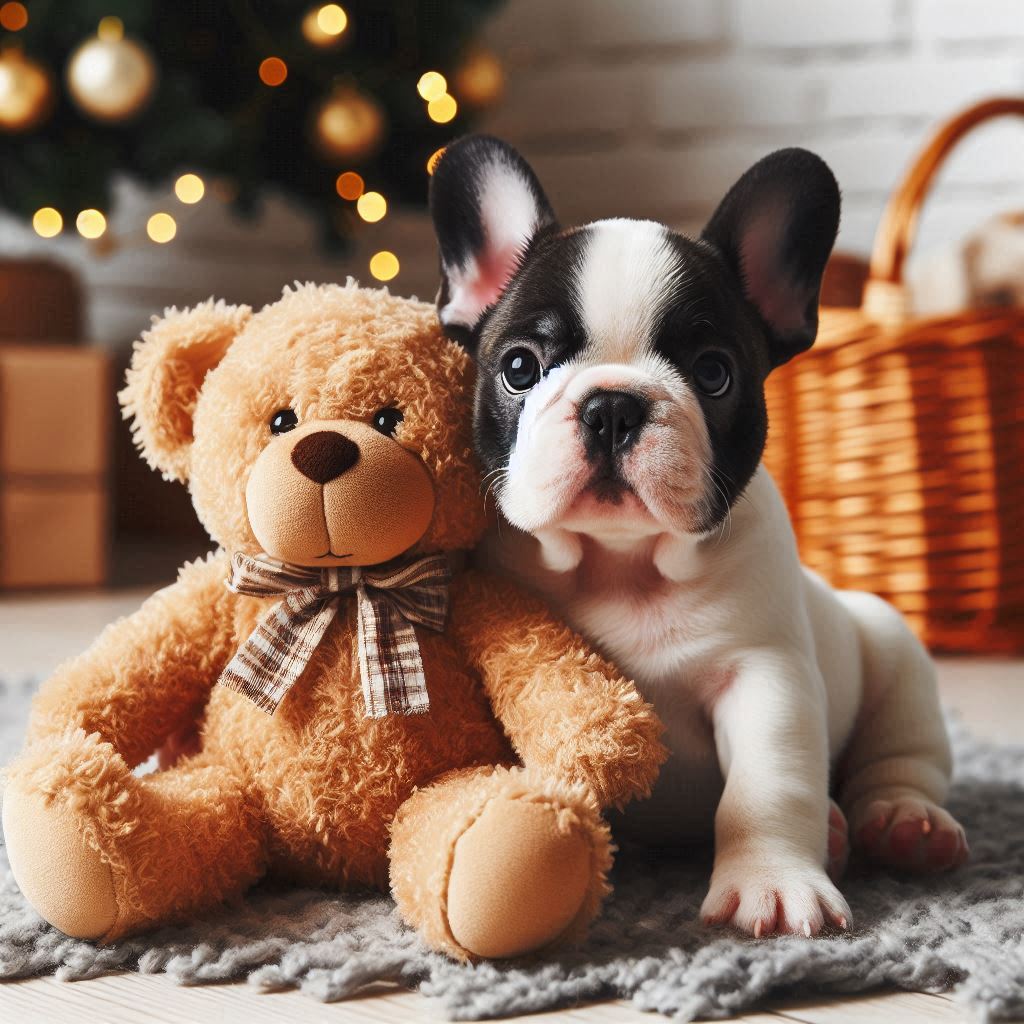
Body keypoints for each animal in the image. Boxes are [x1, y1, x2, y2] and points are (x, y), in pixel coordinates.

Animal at [425, 134, 966, 937]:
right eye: (520, 366)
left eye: (714, 374)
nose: (612, 406)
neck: (623, 564)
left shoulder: (765, 677)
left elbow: (767, 788)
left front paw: (772, 884)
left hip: (893, 649)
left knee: (904, 757)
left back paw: (901, 824)